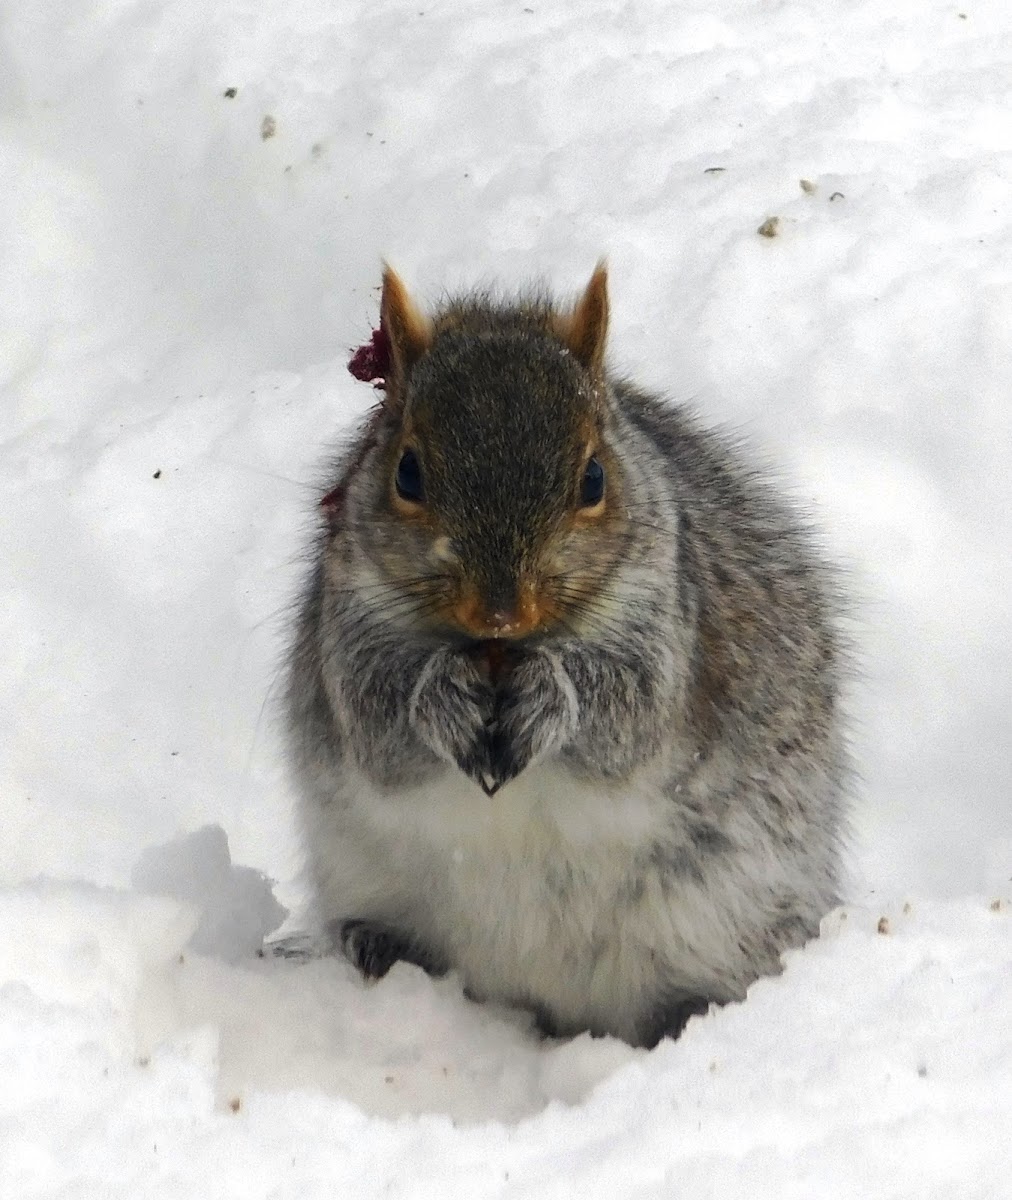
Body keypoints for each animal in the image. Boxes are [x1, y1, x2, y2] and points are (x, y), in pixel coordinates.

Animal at [289, 267, 849, 1046]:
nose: (500, 613)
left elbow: (627, 720)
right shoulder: (346, 630)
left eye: (593, 480)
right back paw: (374, 945)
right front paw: (441, 696)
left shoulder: (666, 631)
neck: (499, 657)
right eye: (407, 473)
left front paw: (552, 696)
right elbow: (379, 727)